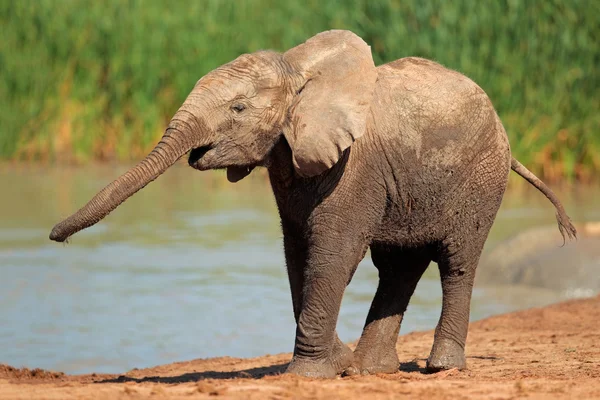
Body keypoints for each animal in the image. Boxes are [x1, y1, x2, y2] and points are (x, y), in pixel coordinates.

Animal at [48, 29, 576, 376]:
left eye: (238, 108)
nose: (54, 236)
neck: (298, 67)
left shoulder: (354, 167)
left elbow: (332, 251)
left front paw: (310, 375)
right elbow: (297, 250)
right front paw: (336, 364)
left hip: (481, 178)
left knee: (457, 262)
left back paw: (440, 368)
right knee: (399, 267)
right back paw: (370, 370)